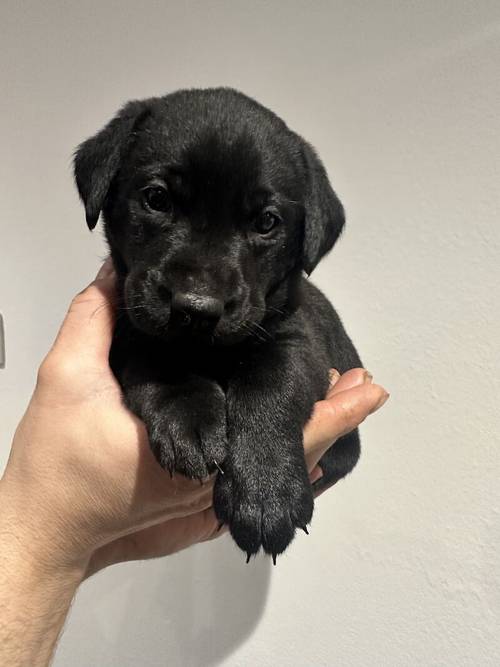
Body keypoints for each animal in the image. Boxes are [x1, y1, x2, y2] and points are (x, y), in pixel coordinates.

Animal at [74, 86, 362, 560]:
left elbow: (270, 384)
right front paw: (190, 418)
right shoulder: (129, 324)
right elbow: (156, 356)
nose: (196, 308)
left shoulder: (296, 340)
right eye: (157, 199)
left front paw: (265, 492)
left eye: (266, 222)